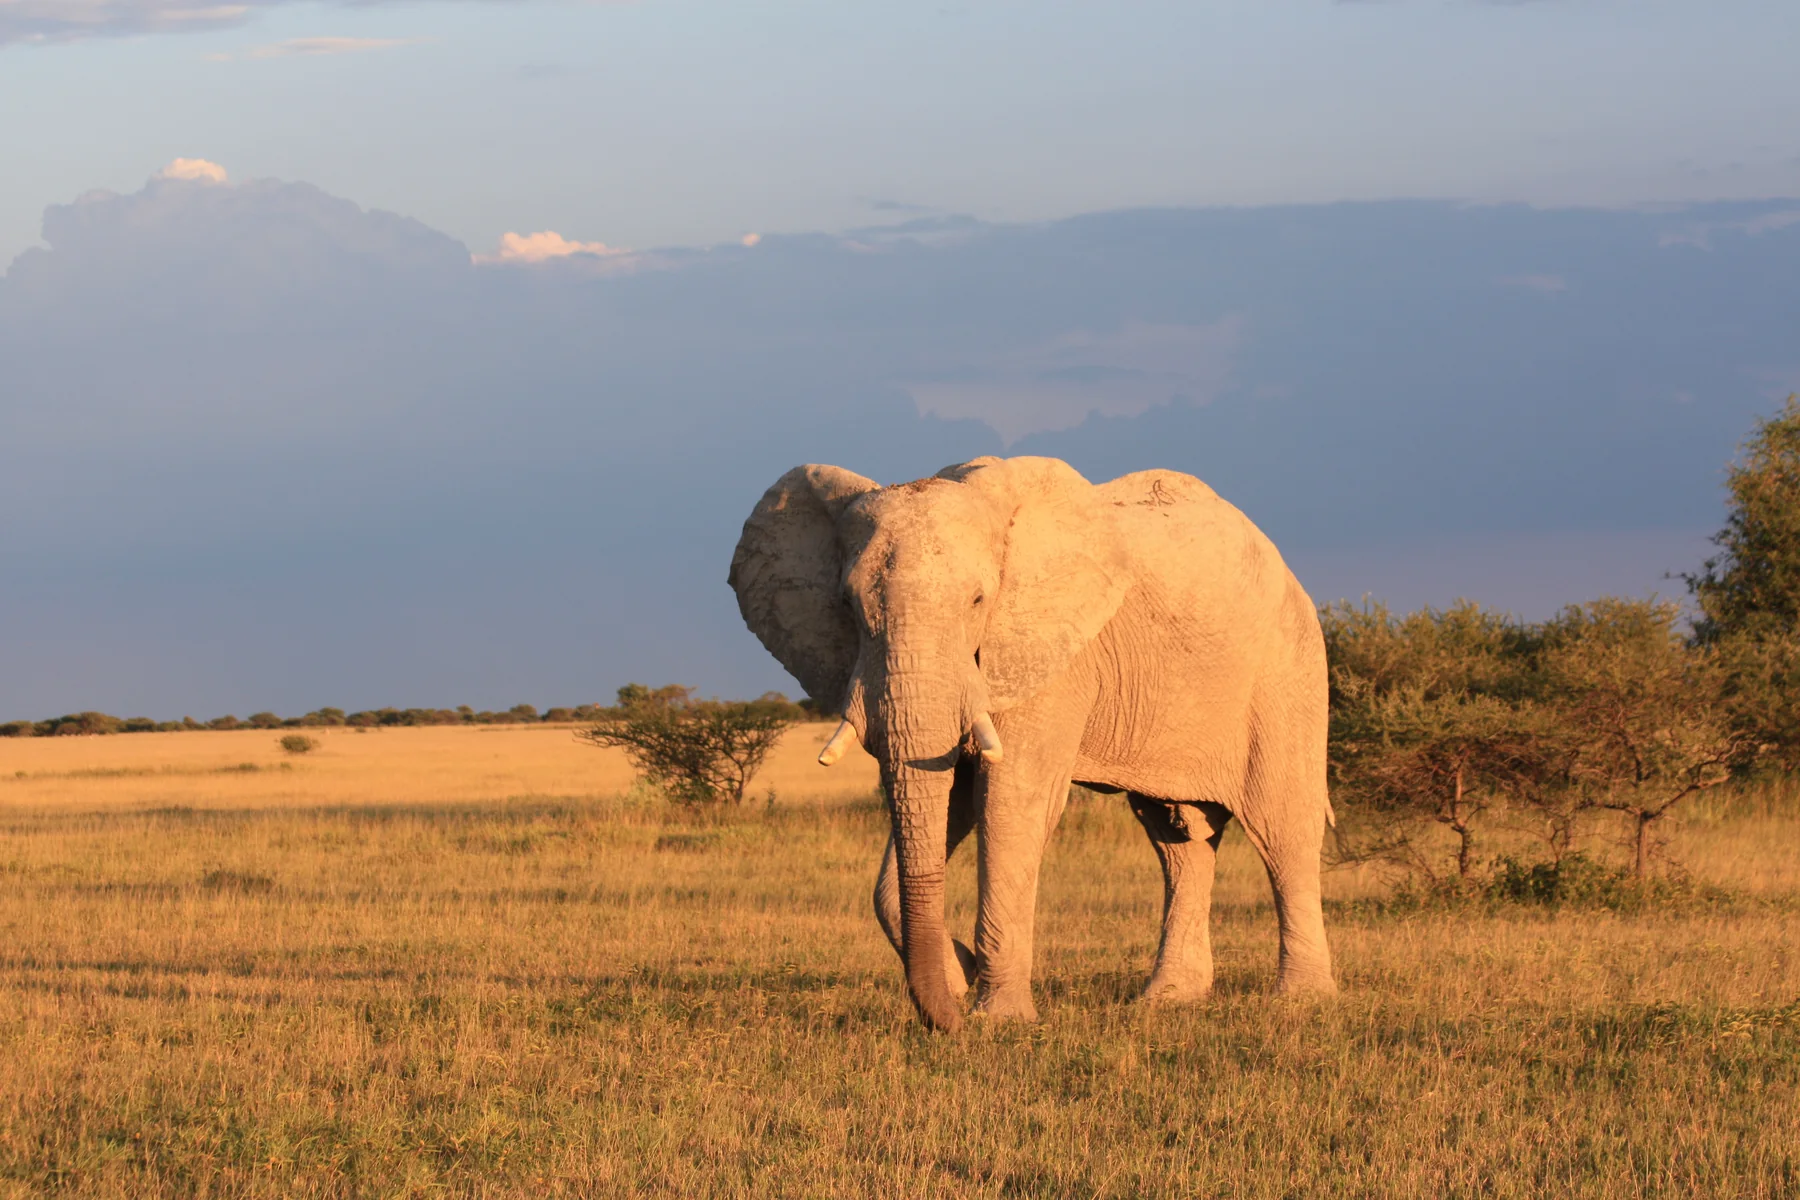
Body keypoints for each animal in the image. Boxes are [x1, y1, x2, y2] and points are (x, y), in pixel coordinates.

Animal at [728, 455, 1336, 1030]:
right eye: (849, 606)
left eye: (978, 601)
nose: (946, 1024)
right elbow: (946, 799)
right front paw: (959, 976)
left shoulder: (1050, 656)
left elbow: (1009, 800)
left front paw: (996, 1018)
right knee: (1177, 840)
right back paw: (1167, 1000)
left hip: (1288, 672)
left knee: (1283, 829)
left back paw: (1301, 1001)